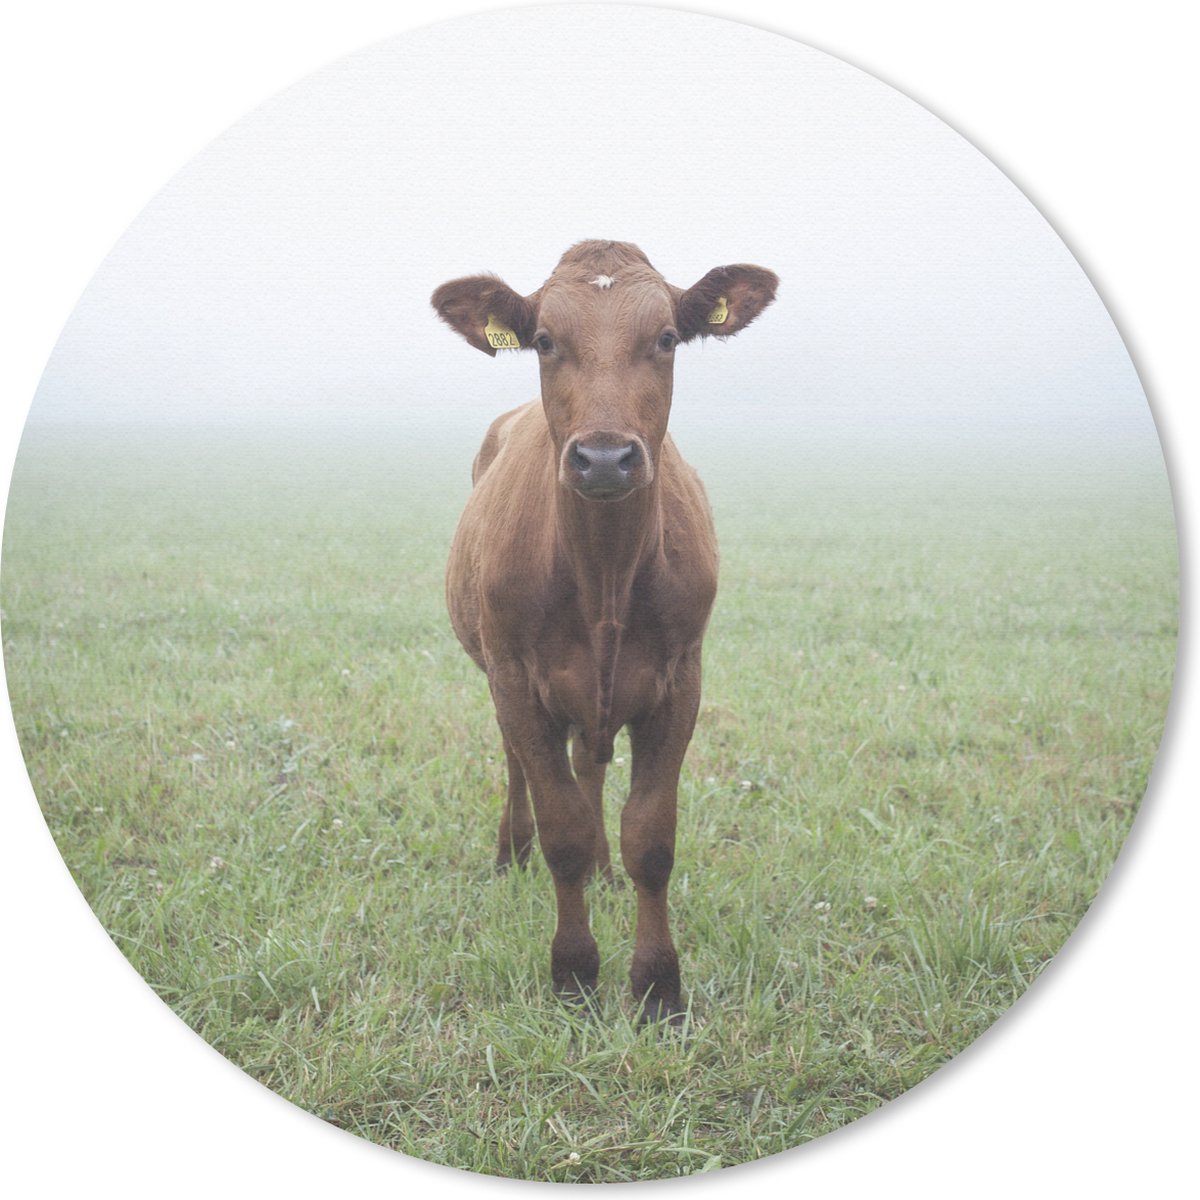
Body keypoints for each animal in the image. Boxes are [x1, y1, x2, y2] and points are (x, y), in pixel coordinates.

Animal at [433, 241, 778, 1023]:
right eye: (544, 341)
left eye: (668, 338)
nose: (604, 458)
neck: (604, 577)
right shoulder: (516, 680)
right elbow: (561, 830)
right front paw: (574, 975)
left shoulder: (680, 680)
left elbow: (650, 839)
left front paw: (656, 987)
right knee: (521, 769)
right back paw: (511, 856)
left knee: (589, 769)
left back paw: (604, 872)